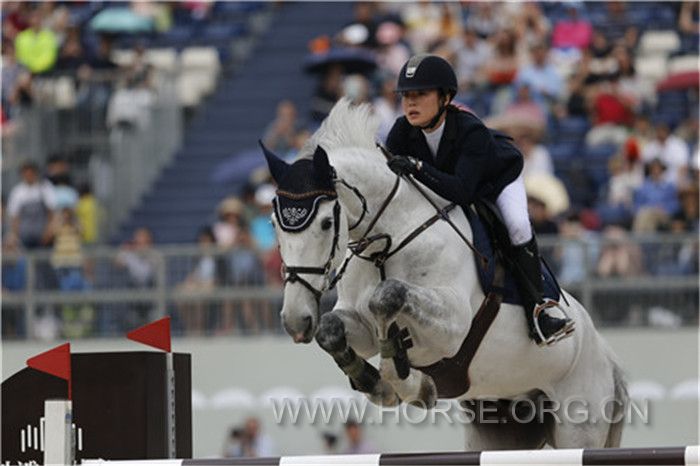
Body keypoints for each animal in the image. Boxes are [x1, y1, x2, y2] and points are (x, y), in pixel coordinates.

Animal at [262, 99, 628, 452]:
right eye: (274, 224)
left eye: (326, 223)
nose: (295, 321)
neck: (389, 241)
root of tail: (609, 357)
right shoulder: (361, 325)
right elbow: (331, 330)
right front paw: (375, 382)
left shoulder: (452, 325)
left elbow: (389, 296)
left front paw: (410, 383)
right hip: (497, 424)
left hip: (578, 422)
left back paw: (549, 323)